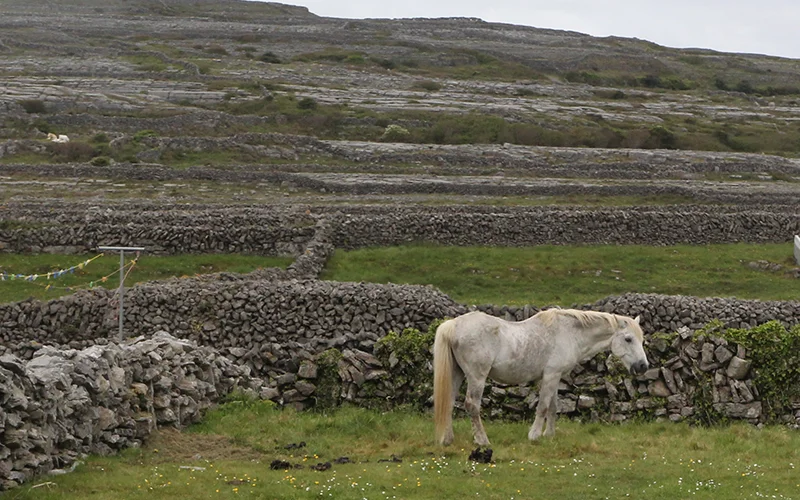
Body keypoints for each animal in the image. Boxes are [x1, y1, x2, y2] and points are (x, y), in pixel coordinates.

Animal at [433, 308, 648, 446]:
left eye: (641, 339)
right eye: (628, 339)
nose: (643, 366)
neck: (569, 332)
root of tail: (453, 324)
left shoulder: (555, 377)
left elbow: (553, 407)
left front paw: (549, 435)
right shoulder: (551, 376)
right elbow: (543, 406)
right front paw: (535, 435)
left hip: (457, 374)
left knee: (449, 403)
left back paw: (447, 439)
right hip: (477, 377)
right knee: (472, 405)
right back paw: (482, 441)